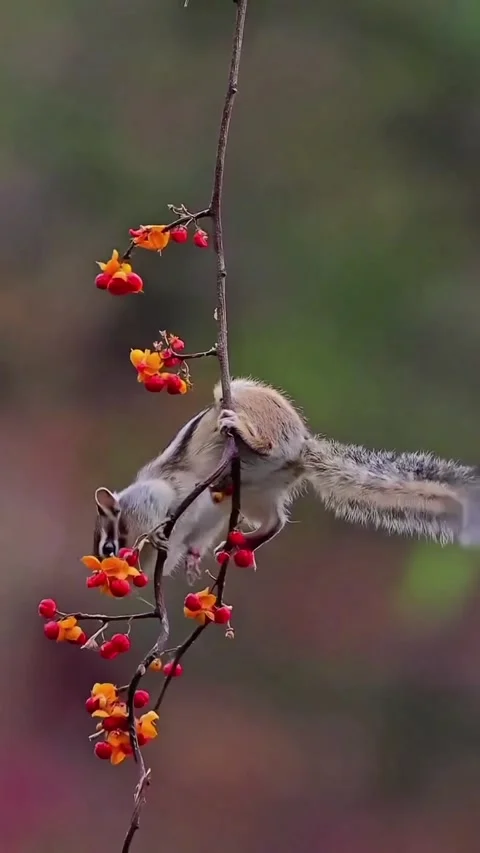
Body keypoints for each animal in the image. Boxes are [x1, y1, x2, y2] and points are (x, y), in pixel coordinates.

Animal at [93, 377, 480, 580]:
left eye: (109, 548)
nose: (111, 570)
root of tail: (301, 446)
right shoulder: (204, 521)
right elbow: (191, 543)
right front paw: (190, 560)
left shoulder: (153, 495)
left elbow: (161, 512)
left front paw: (156, 537)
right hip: (253, 494)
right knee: (276, 521)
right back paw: (243, 543)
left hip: (241, 401)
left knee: (259, 439)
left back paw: (244, 433)